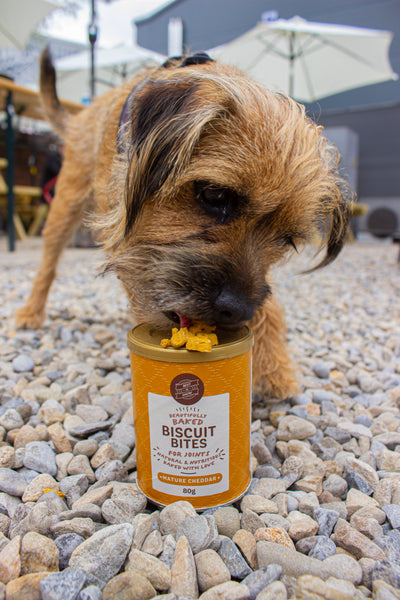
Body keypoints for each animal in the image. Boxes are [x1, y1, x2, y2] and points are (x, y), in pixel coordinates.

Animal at [14, 49, 350, 400]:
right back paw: (31, 313)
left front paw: (274, 367)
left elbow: (270, 306)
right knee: (48, 262)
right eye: (214, 195)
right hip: (66, 199)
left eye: (287, 239)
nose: (239, 310)